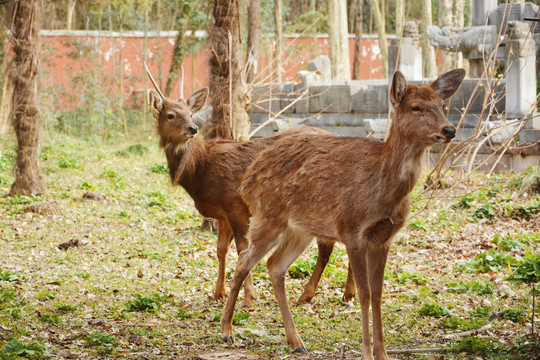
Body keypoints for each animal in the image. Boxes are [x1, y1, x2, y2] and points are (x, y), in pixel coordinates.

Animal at [221, 69, 466, 358]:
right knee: (244, 261)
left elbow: (379, 293)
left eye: (442, 106)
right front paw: (367, 352)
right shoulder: (352, 231)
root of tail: (247, 180)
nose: (449, 129)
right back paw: (227, 330)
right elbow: (364, 294)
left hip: (299, 229)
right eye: (416, 107)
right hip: (267, 217)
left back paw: (296, 341)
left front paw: (383, 353)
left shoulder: (383, 240)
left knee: (274, 265)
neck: (382, 189)